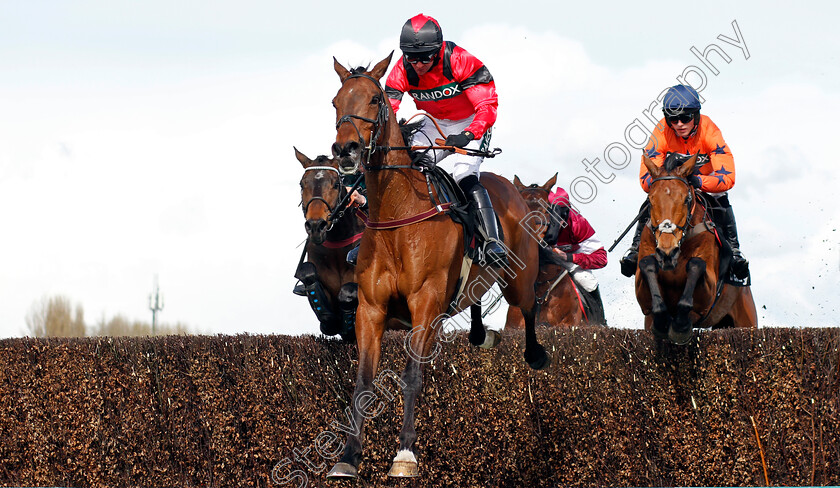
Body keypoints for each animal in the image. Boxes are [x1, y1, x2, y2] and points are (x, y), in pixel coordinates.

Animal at [294, 147, 362, 342]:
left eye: (336, 185)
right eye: (302, 184)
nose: (316, 226)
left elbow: (348, 291)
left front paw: (348, 327)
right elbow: (307, 272)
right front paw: (329, 320)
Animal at [632, 152, 756, 344]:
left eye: (686, 199)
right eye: (651, 201)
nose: (667, 252)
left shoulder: (708, 293)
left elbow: (696, 264)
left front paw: (680, 326)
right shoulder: (644, 301)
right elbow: (647, 263)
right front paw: (663, 321)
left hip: (747, 320)